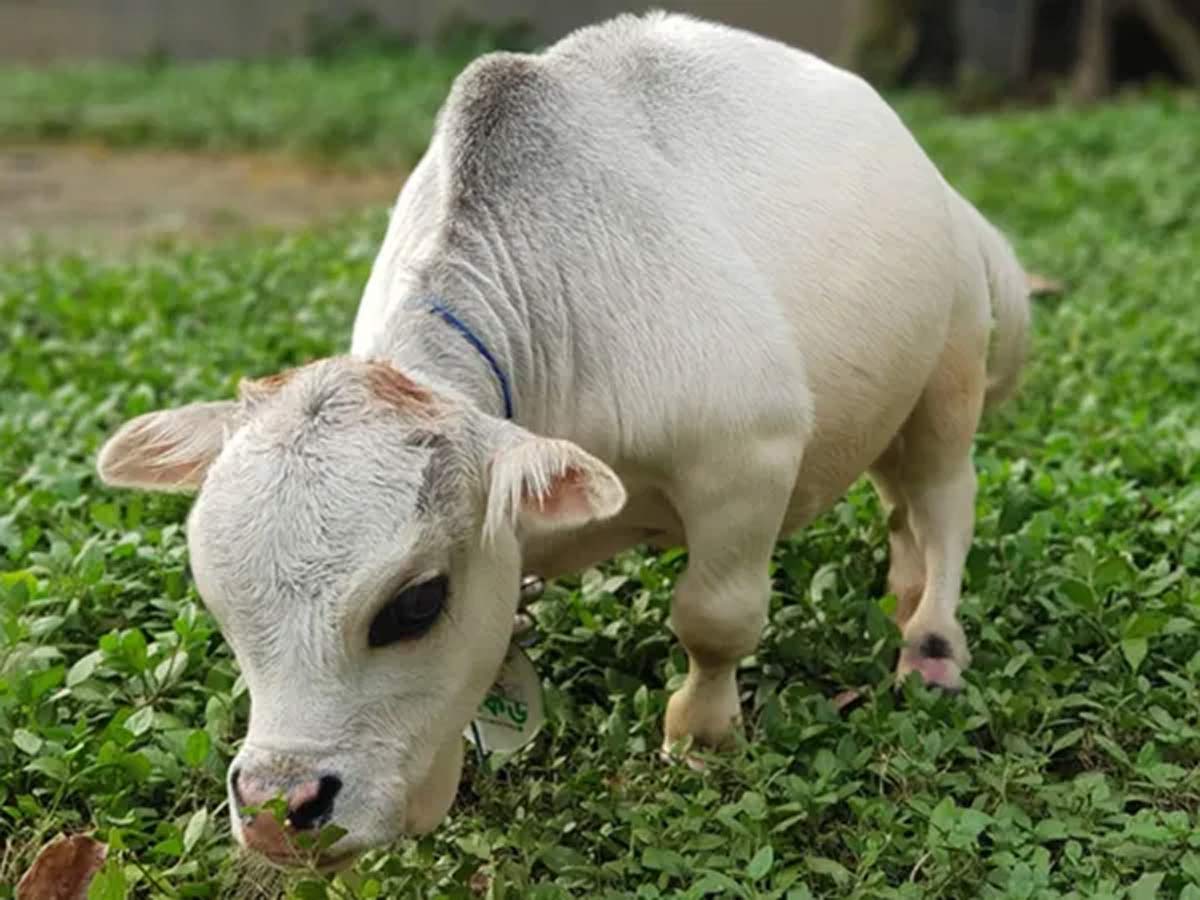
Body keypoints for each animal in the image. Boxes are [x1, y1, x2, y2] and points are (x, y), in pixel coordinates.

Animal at [95, 12, 1030, 868]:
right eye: (218, 598)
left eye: (414, 603)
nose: (275, 811)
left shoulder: (747, 457)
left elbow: (715, 618)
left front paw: (701, 734)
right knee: (901, 507)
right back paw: (904, 591)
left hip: (949, 374)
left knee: (944, 501)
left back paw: (931, 642)